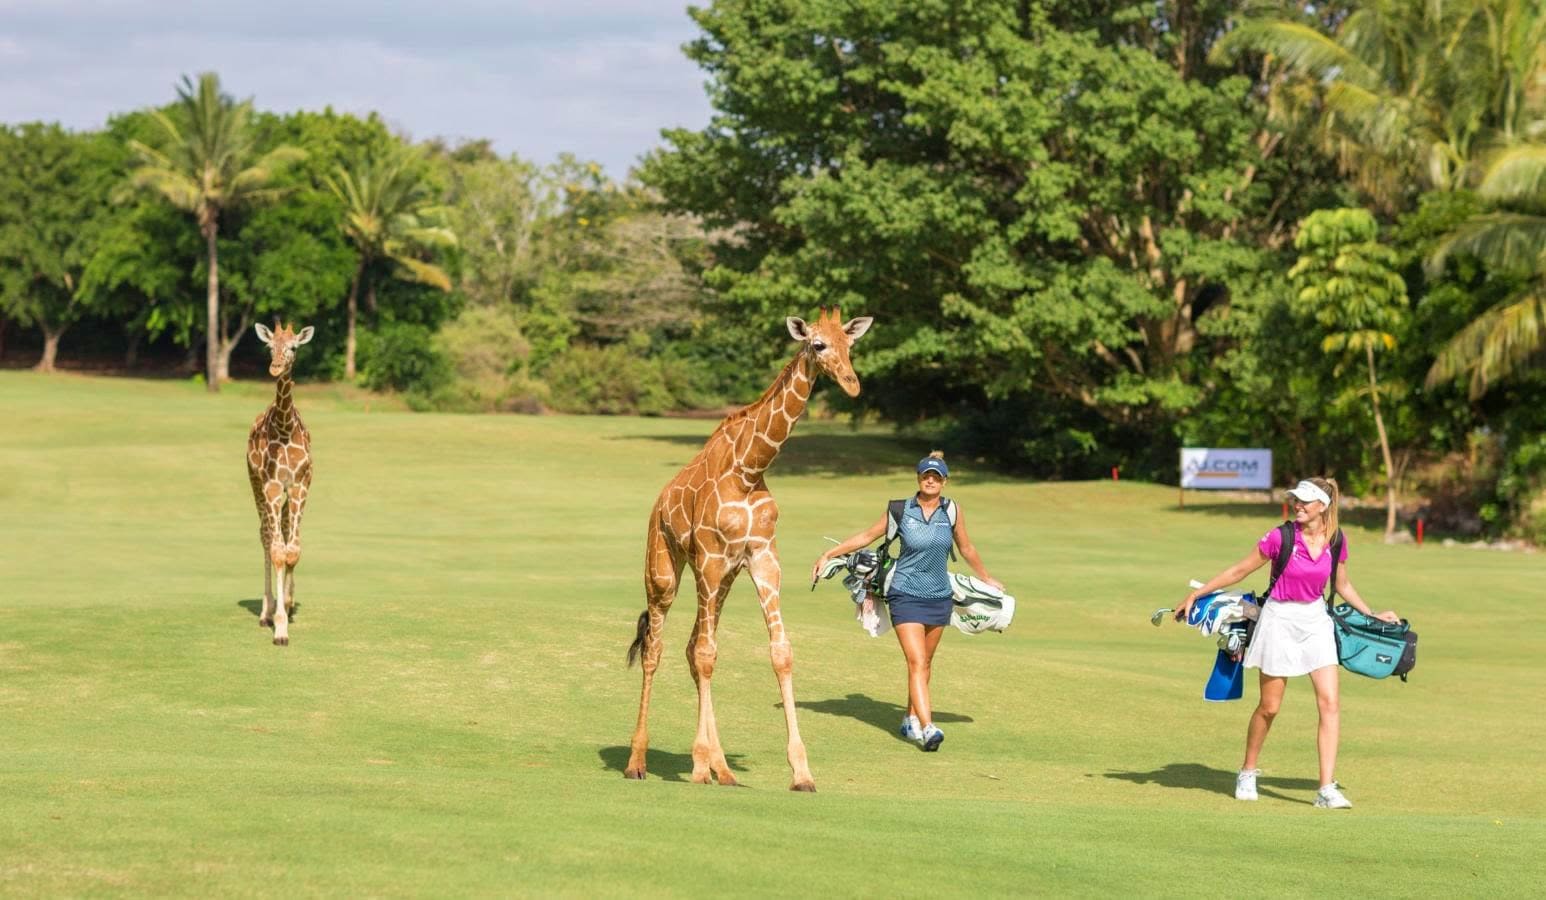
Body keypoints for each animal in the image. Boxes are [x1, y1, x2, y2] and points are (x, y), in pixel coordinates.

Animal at [624, 308, 873, 791]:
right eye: (818, 344)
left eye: (849, 344)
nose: (852, 384)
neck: (749, 468)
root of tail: (659, 502)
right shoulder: (709, 557)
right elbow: (706, 655)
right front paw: (696, 766)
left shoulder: (762, 558)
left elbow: (779, 652)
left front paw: (801, 772)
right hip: (665, 570)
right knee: (657, 650)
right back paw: (638, 761)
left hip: (722, 579)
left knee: (692, 647)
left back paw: (721, 769)